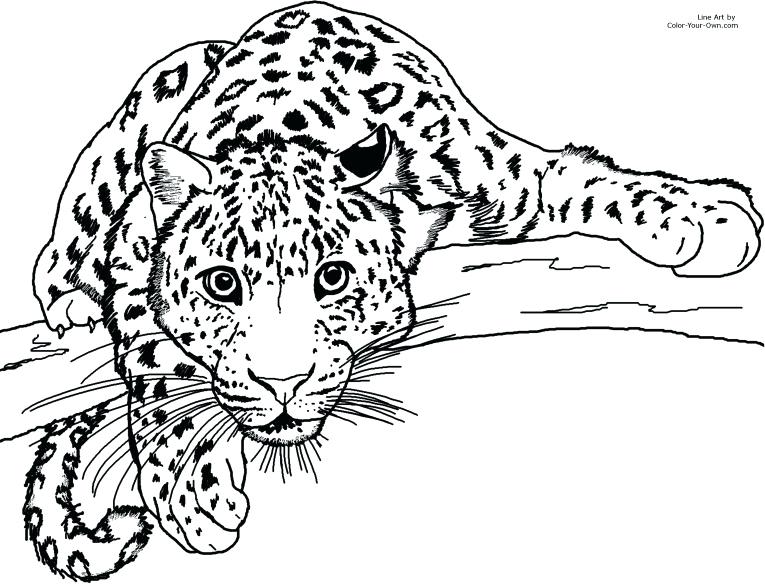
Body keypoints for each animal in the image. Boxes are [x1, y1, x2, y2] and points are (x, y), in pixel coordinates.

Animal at [24, 1, 761, 581]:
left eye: (332, 277)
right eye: (222, 284)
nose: (281, 384)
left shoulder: (510, 177)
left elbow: (596, 182)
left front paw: (705, 215)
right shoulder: (131, 245)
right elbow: (155, 362)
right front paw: (194, 492)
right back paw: (65, 293)